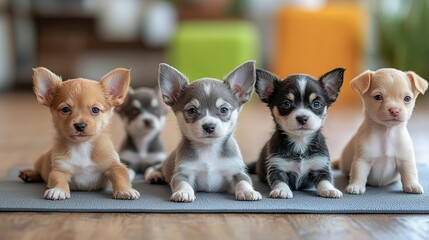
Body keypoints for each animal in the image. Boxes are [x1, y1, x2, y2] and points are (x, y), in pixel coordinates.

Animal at [18, 66, 139, 200]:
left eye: (95, 110)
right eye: (65, 109)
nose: (80, 125)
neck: (82, 147)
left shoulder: (114, 165)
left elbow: (121, 176)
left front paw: (125, 191)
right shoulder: (59, 169)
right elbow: (58, 180)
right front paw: (58, 190)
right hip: (41, 161)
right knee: (38, 171)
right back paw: (29, 174)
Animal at [146, 60, 260, 202]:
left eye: (224, 110)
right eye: (191, 110)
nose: (209, 126)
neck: (209, 149)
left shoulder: (236, 171)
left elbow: (244, 181)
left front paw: (248, 191)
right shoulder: (183, 172)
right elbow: (182, 183)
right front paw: (183, 192)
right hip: (167, 164)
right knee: (157, 167)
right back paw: (154, 175)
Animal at [251, 67, 344, 199]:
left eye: (316, 104)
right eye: (286, 104)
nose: (302, 118)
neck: (300, 142)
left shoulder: (321, 166)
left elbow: (325, 180)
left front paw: (330, 189)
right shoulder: (277, 167)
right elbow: (279, 181)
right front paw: (282, 190)